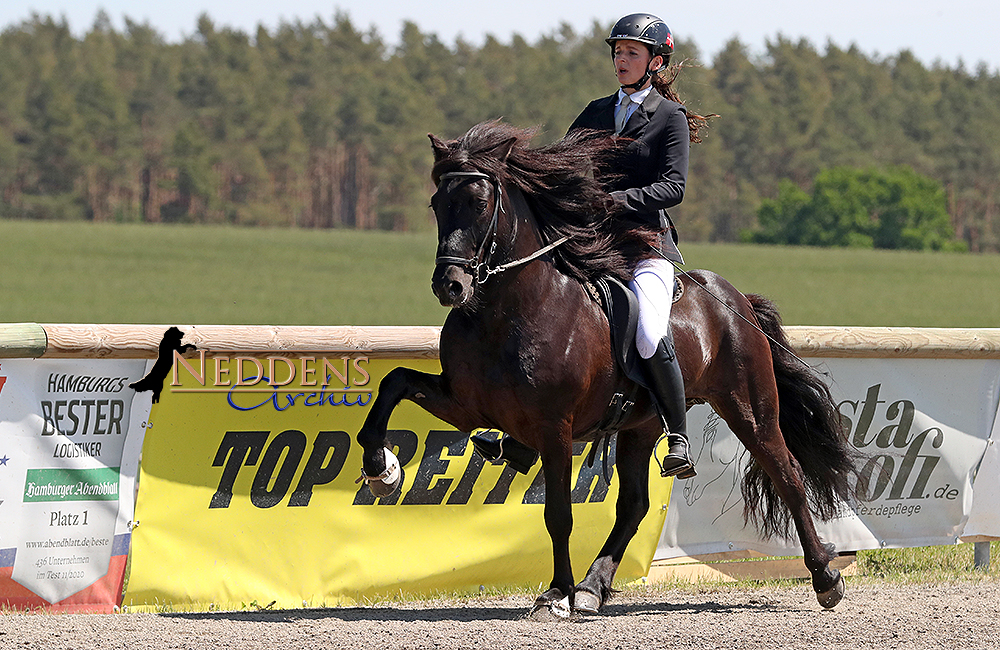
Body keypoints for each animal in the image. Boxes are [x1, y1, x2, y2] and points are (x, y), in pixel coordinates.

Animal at [356, 120, 856, 612]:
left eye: (479, 204)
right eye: (438, 204)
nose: (450, 285)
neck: (505, 312)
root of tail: (737, 301)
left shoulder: (554, 428)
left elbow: (558, 514)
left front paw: (556, 592)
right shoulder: (466, 405)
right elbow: (394, 382)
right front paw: (380, 468)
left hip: (749, 408)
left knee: (787, 474)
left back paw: (825, 577)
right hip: (643, 424)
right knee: (634, 505)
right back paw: (594, 587)